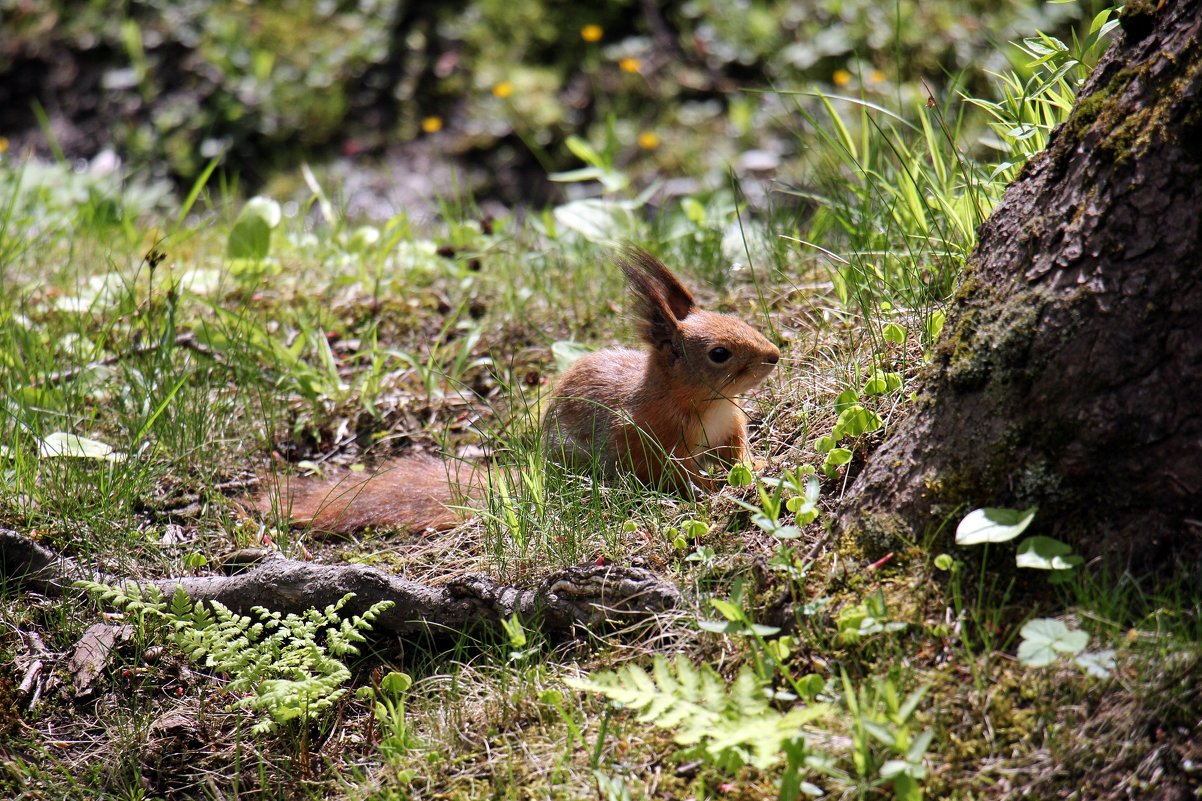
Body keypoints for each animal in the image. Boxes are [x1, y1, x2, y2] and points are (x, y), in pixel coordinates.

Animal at [256, 242, 778, 529]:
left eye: (737, 318)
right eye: (718, 354)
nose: (774, 355)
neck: (706, 402)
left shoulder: (728, 428)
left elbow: (738, 451)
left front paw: (753, 467)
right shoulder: (650, 436)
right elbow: (673, 473)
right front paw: (707, 488)